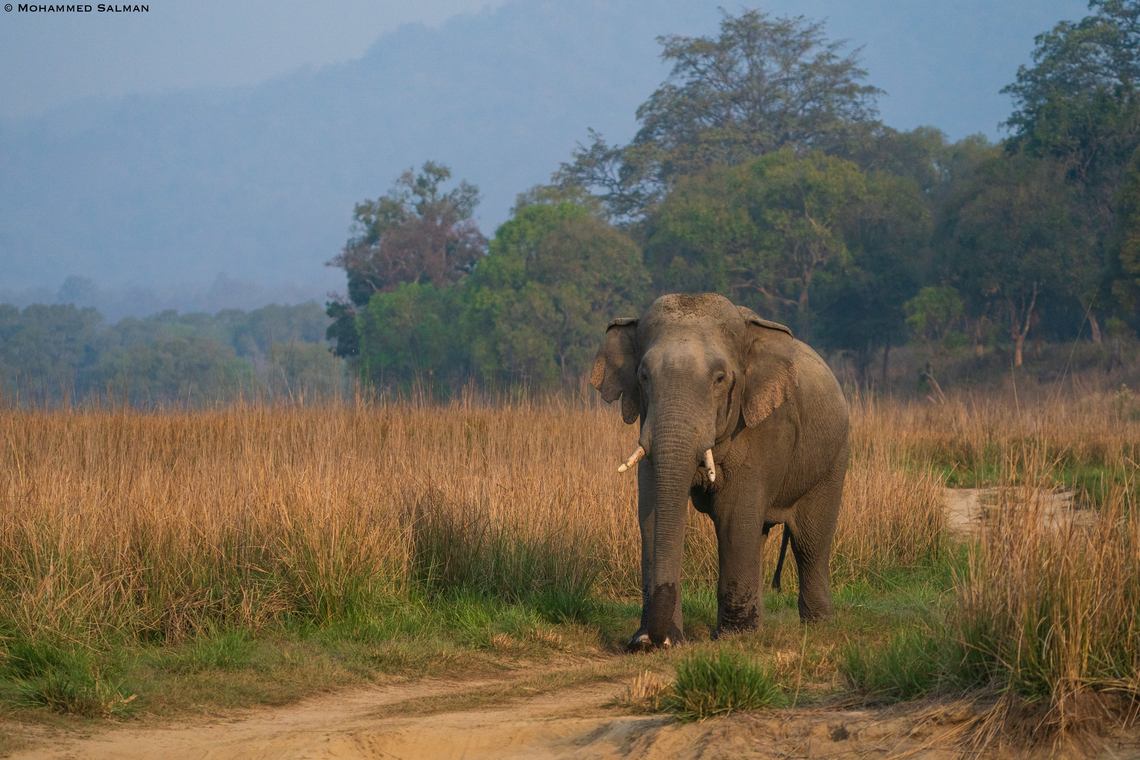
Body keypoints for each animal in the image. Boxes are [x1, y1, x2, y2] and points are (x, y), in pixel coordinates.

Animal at [590, 293, 849, 649]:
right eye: (643, 377)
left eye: (720, 379)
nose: (657, 640)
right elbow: (651, 515)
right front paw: (650, 642)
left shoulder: (763, 427)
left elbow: (735, 517)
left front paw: (732, 639)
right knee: (763, 533)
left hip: (834, 457)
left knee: (810, 542)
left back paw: (818, 627)